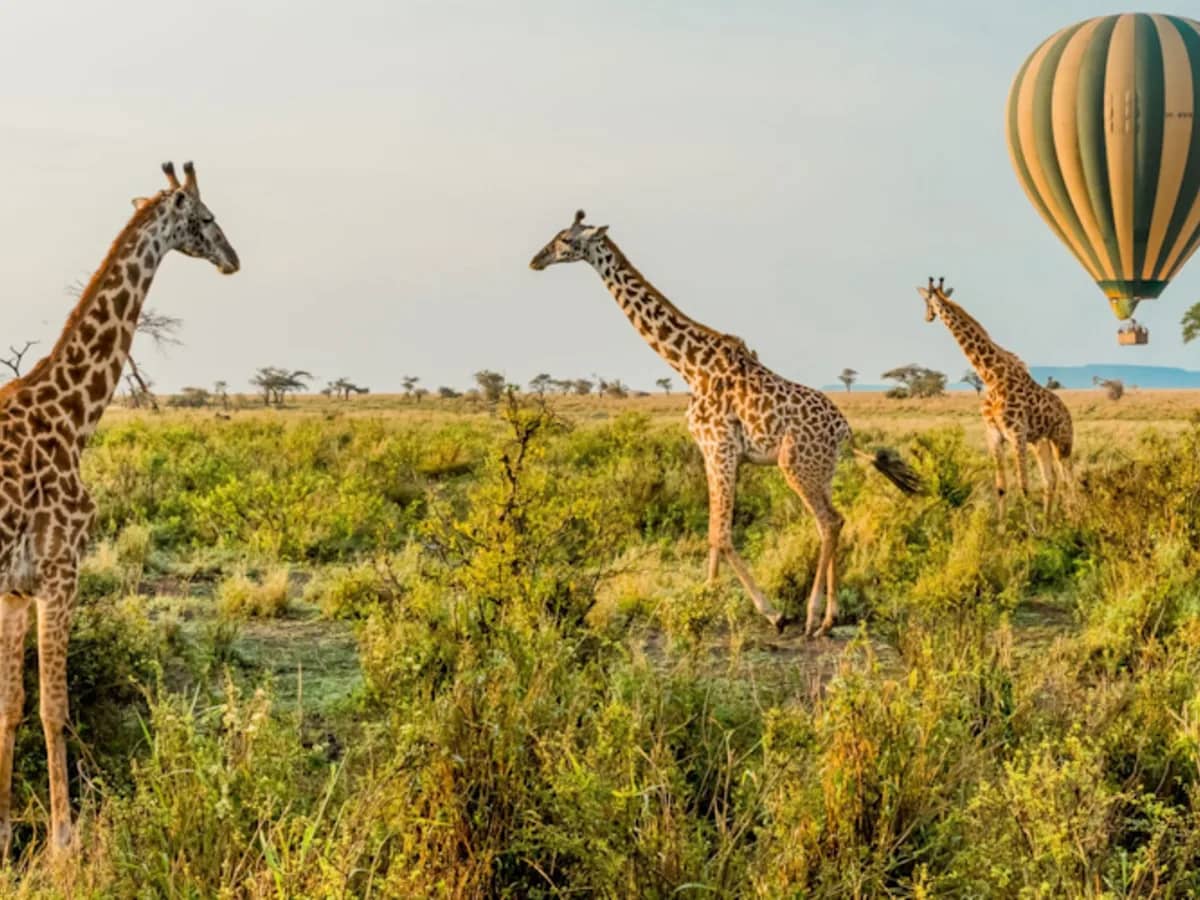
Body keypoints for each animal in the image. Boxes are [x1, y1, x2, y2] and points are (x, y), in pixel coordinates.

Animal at [0, 161, 239, 857]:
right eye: (207, 218)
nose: (233, 259)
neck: (74, 415)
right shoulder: (60, 572)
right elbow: (54, 708)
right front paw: (64, 843)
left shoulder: (17, 589)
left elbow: (13, 707)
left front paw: (5, 834)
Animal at [530, 211, 922, 637]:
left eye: (566, 240)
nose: (536, 260)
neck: (688, 365)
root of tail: (845, 431)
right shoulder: (712, 451)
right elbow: (713, 532)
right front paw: (706, 596)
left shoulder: (720, 447)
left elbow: (722, 533)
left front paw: (770, 612)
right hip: (823, 470)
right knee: (835, 521)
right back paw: (830, 617)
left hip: (795, 464)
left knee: (830, 522)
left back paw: (813, 616)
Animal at [917, 277, 1073, 517]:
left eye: (927, 301)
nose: (927, 317)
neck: (991, 377)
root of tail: (1068, 414)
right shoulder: (994, 434)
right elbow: (1001, 487)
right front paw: (1002, 526)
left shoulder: (1017, 433)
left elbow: (1024, 486)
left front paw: (1028, 527)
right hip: (1040, 442)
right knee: (1051, 481)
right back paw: (1051, 522)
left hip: (1062, 442)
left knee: (1069, 480)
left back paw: (1076, 518)